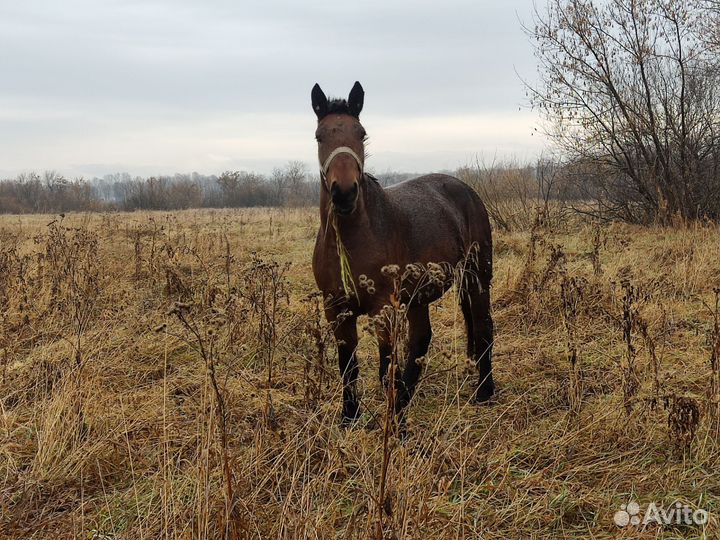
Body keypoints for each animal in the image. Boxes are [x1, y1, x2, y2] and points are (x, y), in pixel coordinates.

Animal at [310, 81, 496, 426]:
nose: (344, 193)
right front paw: (350, 417)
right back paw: (407, 393)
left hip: (476, 276)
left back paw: (484, 391)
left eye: (361, 134)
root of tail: (465, 189)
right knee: (421, 339)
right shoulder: (336, 309)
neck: (350, 239)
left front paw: (393, 418)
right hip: (418, 296)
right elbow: (348, 366)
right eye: (320, 136)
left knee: (482, 327)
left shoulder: (383, 308)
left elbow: (385, 365)